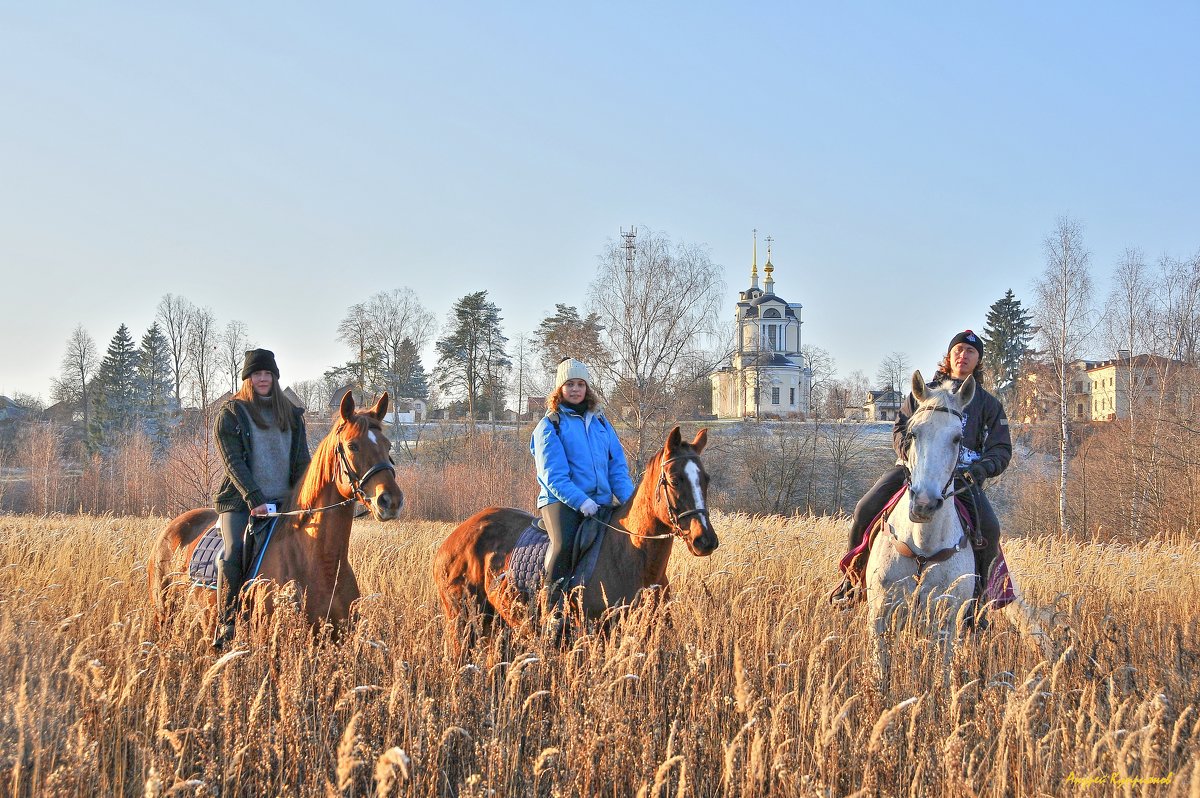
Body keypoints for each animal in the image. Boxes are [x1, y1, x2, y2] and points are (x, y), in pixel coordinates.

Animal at [146, 391, 403, 633]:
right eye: (352, 445)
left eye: (388, 445)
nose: (390, 500)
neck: (321, 560)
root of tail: (171, 529)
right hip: (163, 617)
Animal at [432, 427, 715, 643]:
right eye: (675, 480)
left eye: (706, 479)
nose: (705, 540)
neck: (632, 558)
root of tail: (453, 539)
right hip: (462, 622)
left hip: (495, 625)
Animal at [868, 369, 979, 681]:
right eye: (912, 433)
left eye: (957, 438)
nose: (925, 504)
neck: (923, 544)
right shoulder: (880, 612)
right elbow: (882, 671)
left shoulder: (946, 618)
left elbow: (941, 672)